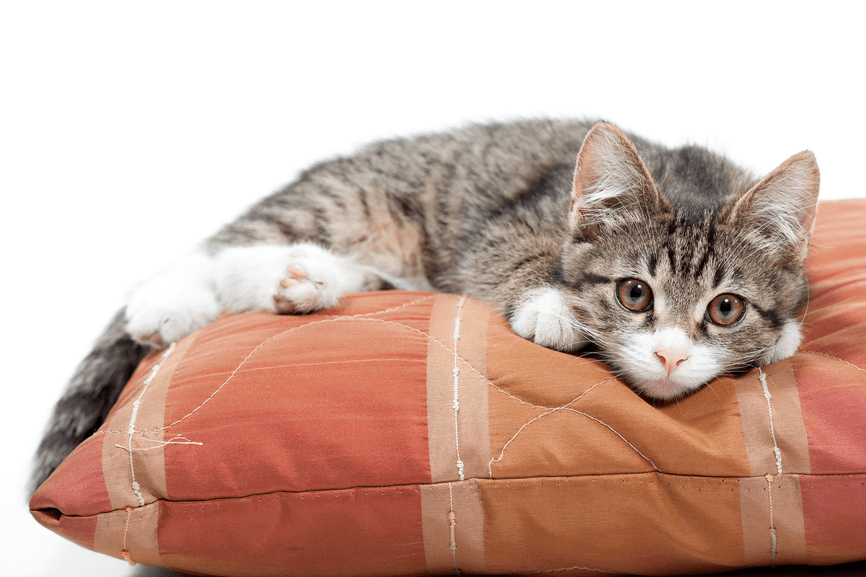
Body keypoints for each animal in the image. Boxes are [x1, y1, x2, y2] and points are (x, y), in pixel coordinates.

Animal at [30, 120, 816, 490]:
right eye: (633, 293)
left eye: (724, 309)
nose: (670, 355)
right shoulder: (507, 220)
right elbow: (509, 253)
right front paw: (553, 306)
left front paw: (777, 337)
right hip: (350, 202)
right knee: (212, 252)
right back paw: (172, 303)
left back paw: (305, 280)